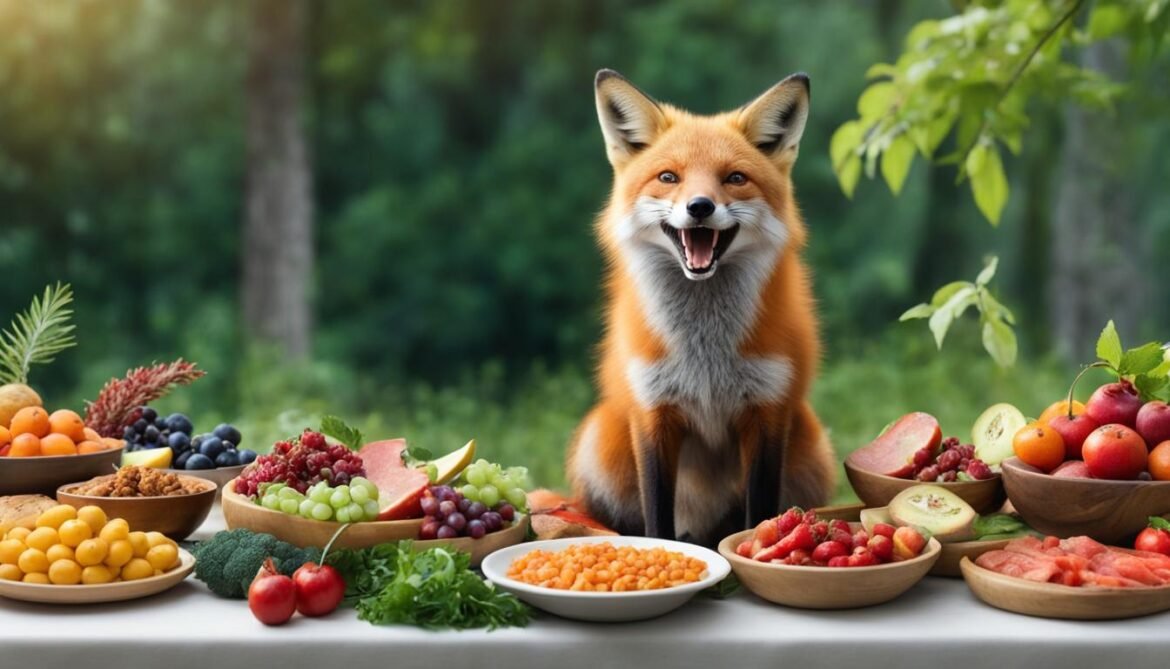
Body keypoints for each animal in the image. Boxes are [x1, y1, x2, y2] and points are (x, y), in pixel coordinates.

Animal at [566, 69, 836, 547]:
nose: (699, 207)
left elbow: (759, 513)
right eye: (668, 177)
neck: (705, 355)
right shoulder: (653, 413)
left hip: (813, 447)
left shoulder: (767, 412)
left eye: (734, 178)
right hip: (598, 438)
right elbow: (658, 519)